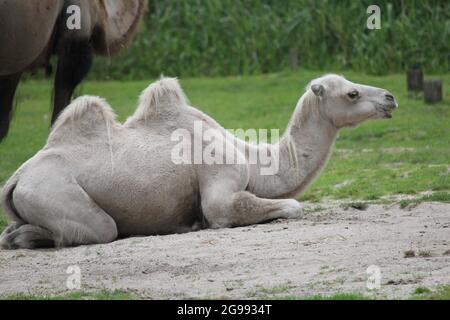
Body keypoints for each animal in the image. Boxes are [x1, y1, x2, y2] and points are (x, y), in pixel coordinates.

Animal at [1, 75, 400, 250]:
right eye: (351, 93)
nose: (390, 97)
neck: (253, 158)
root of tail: (16, 178)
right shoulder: (221, 186)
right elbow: (287, 206)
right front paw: (198, 222)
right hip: (56, 193)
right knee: (100, 229)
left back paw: (19, 234)